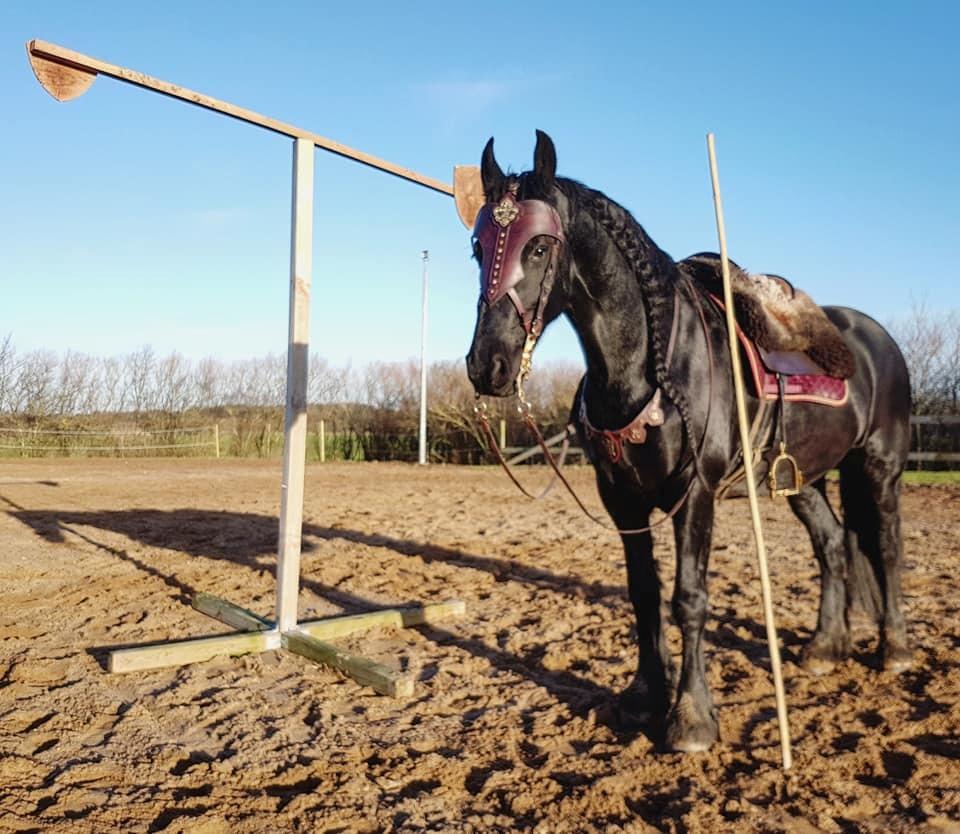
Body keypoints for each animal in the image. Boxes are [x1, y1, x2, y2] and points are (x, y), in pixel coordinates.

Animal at [468, 133, 912, 752]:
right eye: (477, 248)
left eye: (537, 247)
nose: (488, 364)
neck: (652, 366)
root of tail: (876, 340)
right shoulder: (621, 500)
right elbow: (644, 594)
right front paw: (643, 696)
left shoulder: (695, 494)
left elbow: (689, 598)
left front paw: (692, 717)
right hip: (803, 479)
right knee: (832, 547)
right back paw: (825, 647)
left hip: (880, 467)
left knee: (887, 548)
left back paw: (895, 649)